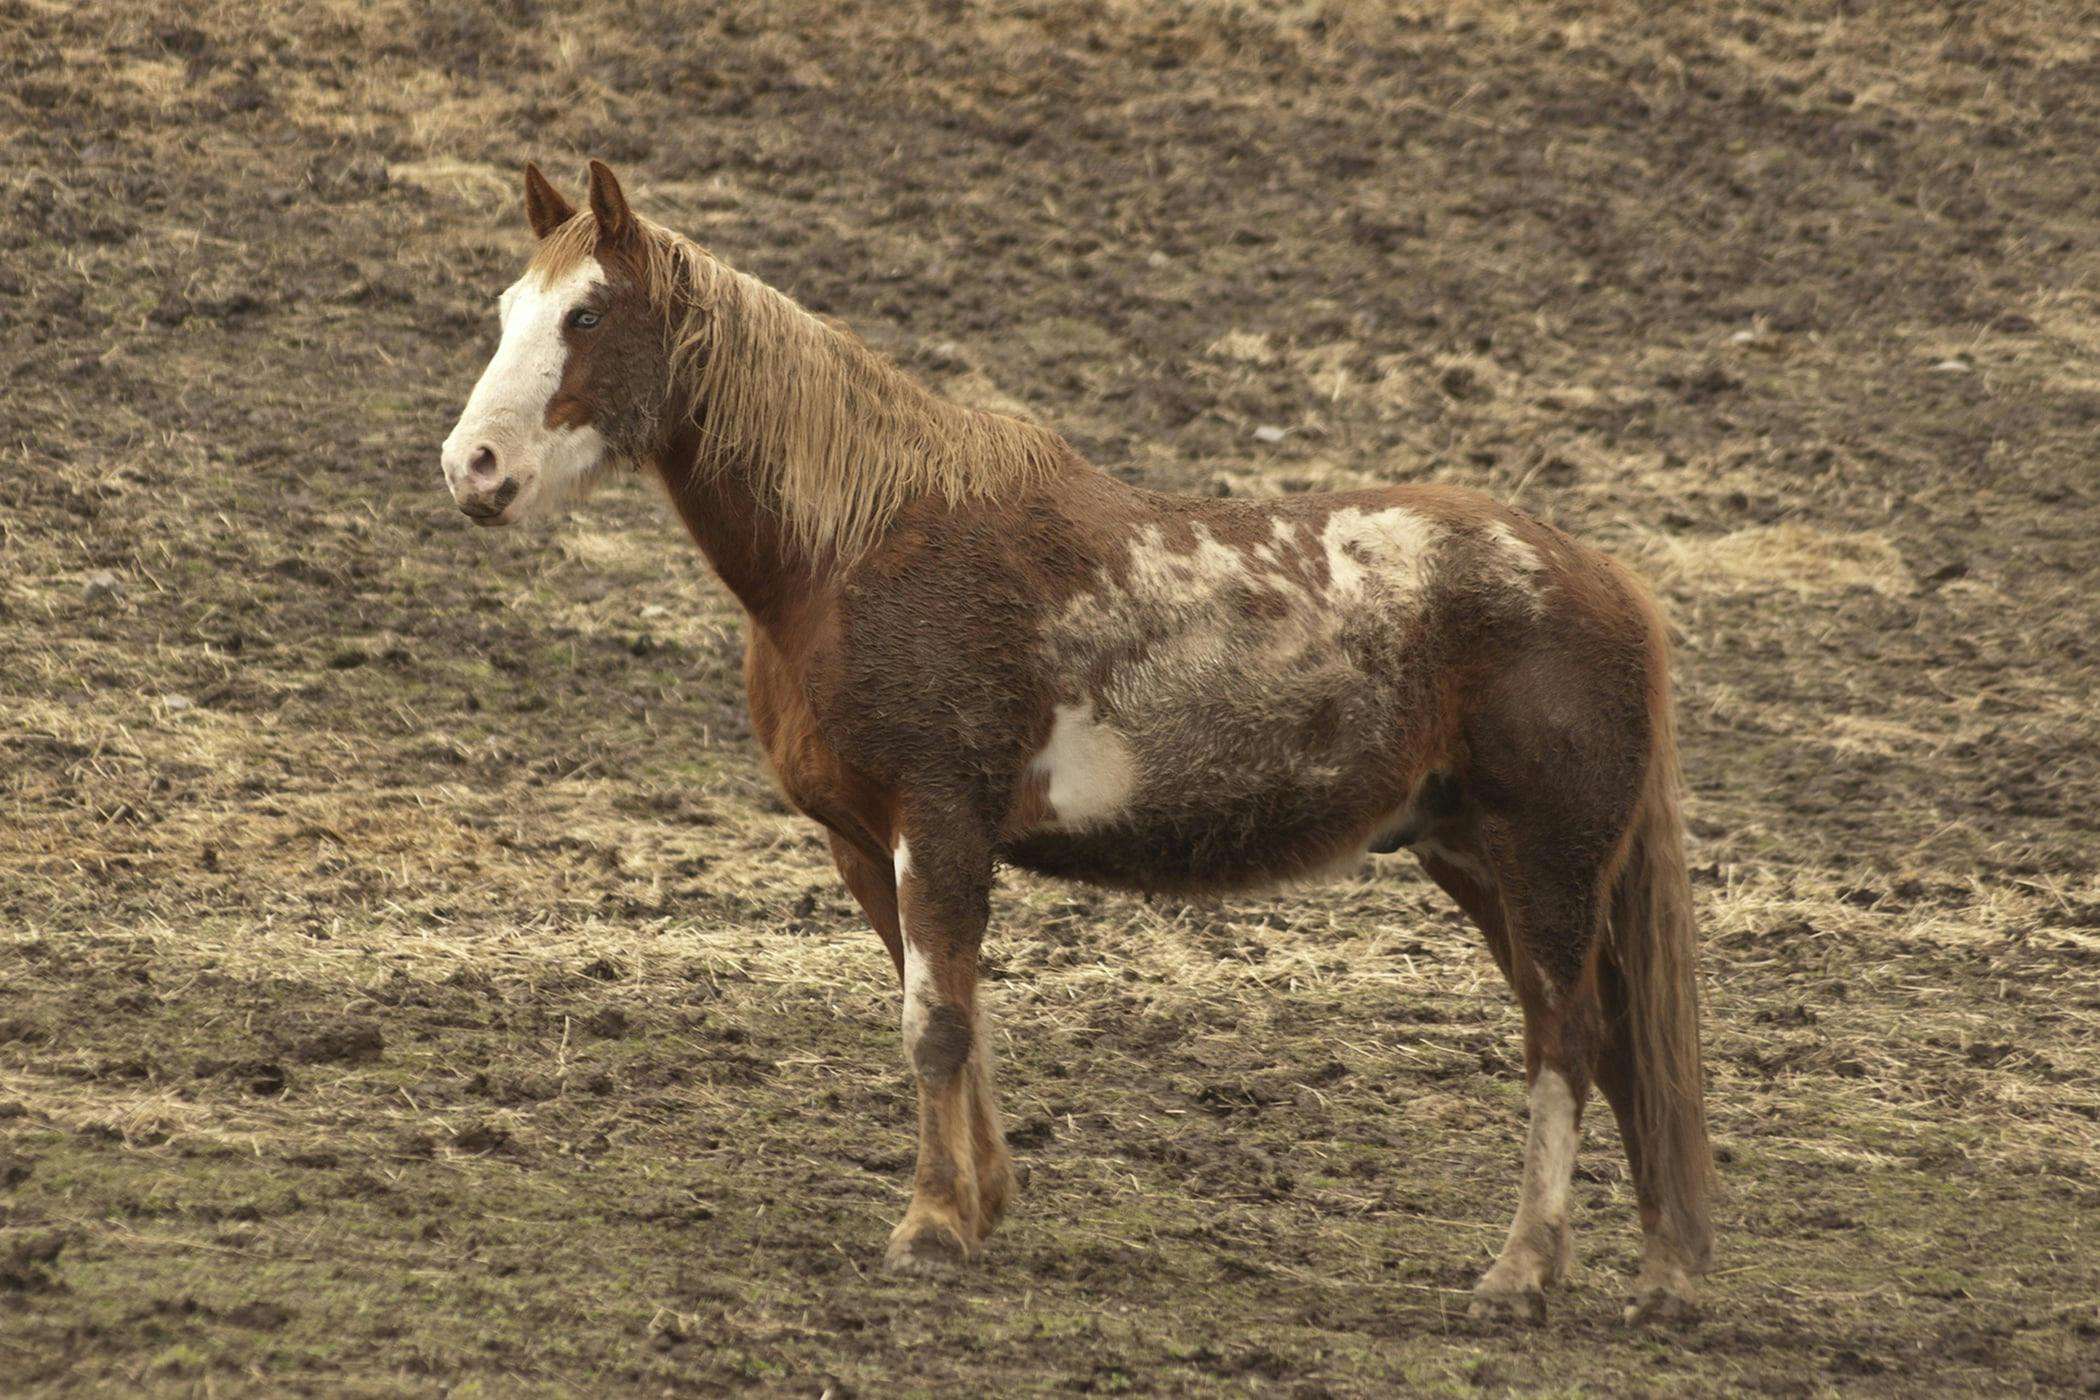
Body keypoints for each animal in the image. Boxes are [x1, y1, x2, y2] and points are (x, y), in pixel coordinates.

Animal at [440, 161, 1714, 1324]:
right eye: (509, 308)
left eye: (587, 314)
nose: (472, 469)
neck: (859, 548)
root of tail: (1610, 579)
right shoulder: (866, 841)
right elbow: (949, 1014)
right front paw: (979, 1205)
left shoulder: (940, 820)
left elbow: (936, 1025)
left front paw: (931, 1227)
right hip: (1480, 862)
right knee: (1612, 1046)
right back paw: (1658, 1276)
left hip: (1544, 863)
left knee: (1566, 1040)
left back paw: (1521, 1271)